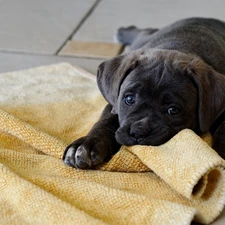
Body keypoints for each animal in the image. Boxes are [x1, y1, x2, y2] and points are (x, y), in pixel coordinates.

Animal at [62, 18, 225, 169]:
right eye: (129, 99)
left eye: (173, 110)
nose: (138, 132)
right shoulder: (113, 103)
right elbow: (104, 121)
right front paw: (86, 144)